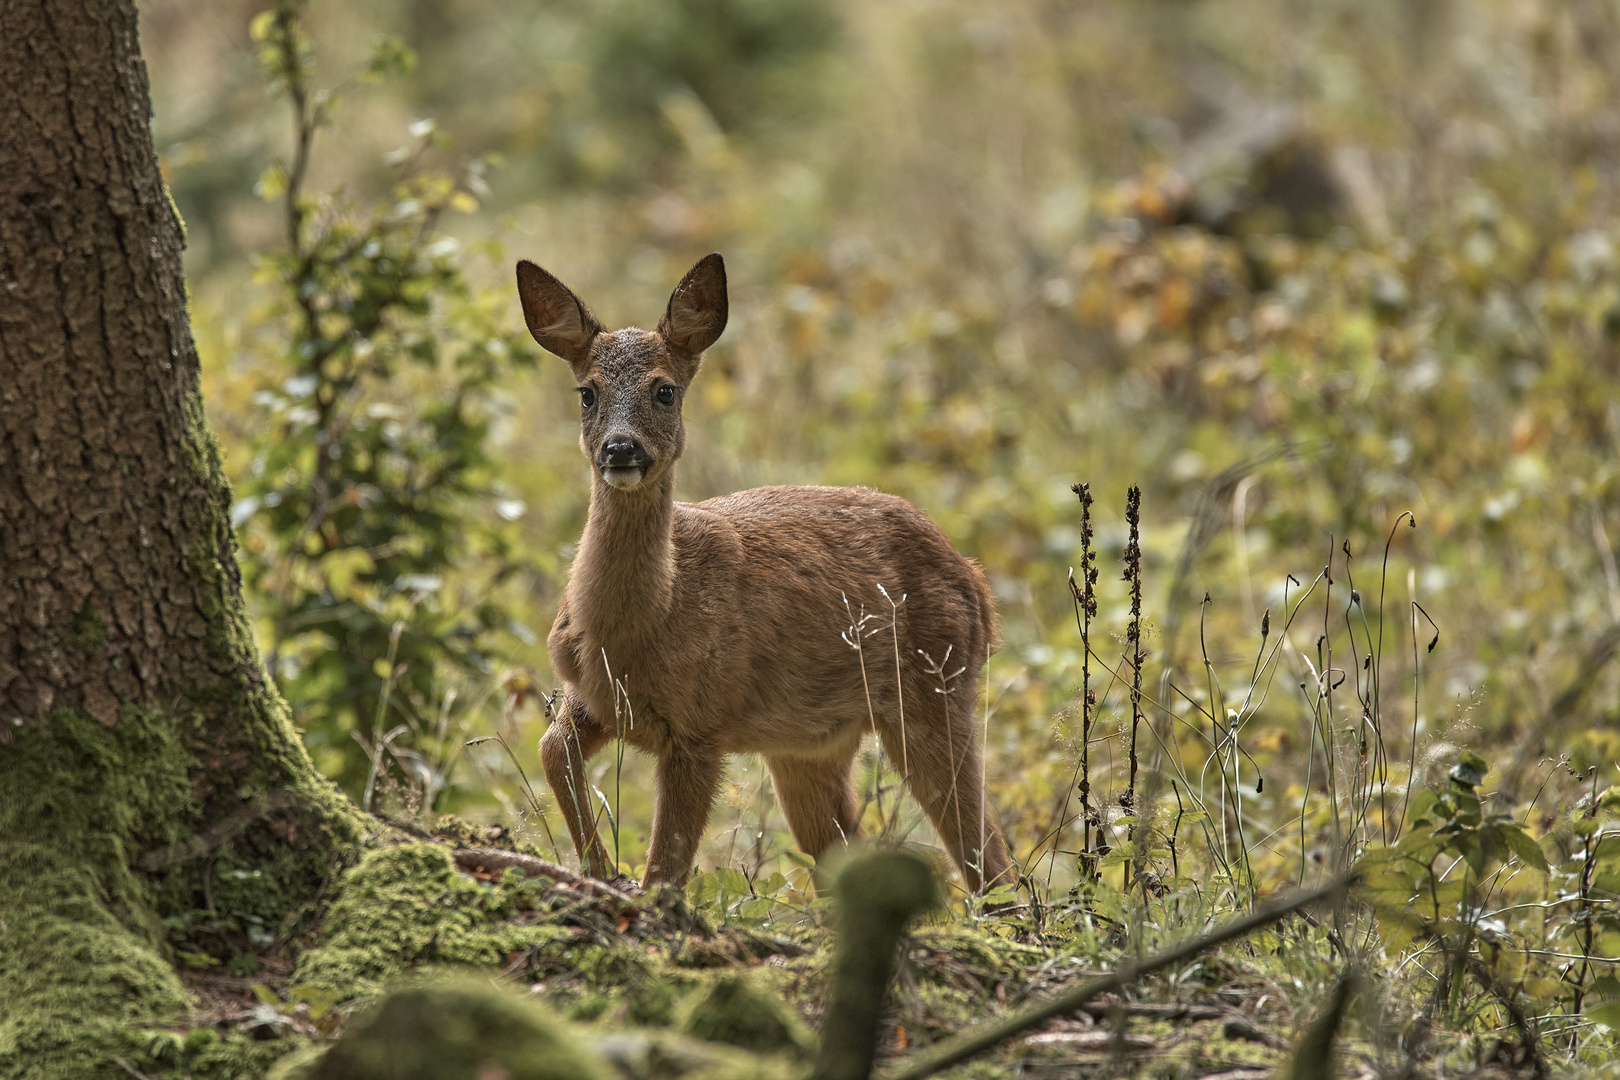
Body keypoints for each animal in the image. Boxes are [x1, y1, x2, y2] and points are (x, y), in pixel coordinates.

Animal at [518, 255, 1010, 893]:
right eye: (586, 393)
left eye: (664, 390)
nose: (620, 449)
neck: (636, 629)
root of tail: (977, 584)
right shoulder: (592, 697)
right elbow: (552, 752)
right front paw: (599, 869)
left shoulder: (702, 724)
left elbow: (667, 868)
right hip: (810, 745)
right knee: (850, 851)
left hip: (935, 689)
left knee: (990, 859)